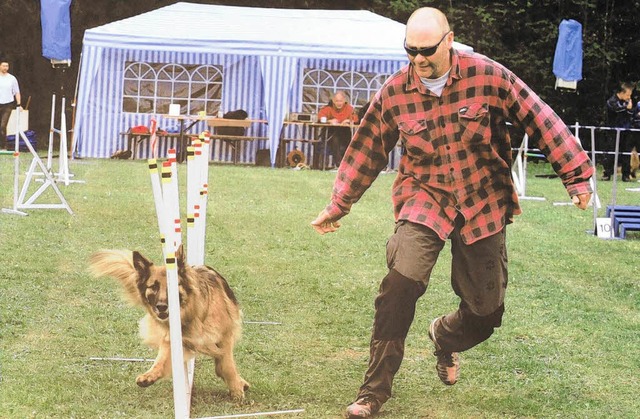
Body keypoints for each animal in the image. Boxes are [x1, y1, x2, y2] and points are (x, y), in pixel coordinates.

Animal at [89, 246, 249, 400]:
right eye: (153, 287)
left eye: (171, 287)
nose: (161, 307)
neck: (192, 314)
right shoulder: (172, 338)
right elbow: (161, 359)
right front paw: (149, 375)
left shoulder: (224, 335)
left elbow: (227, 365)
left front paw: (236, 389)